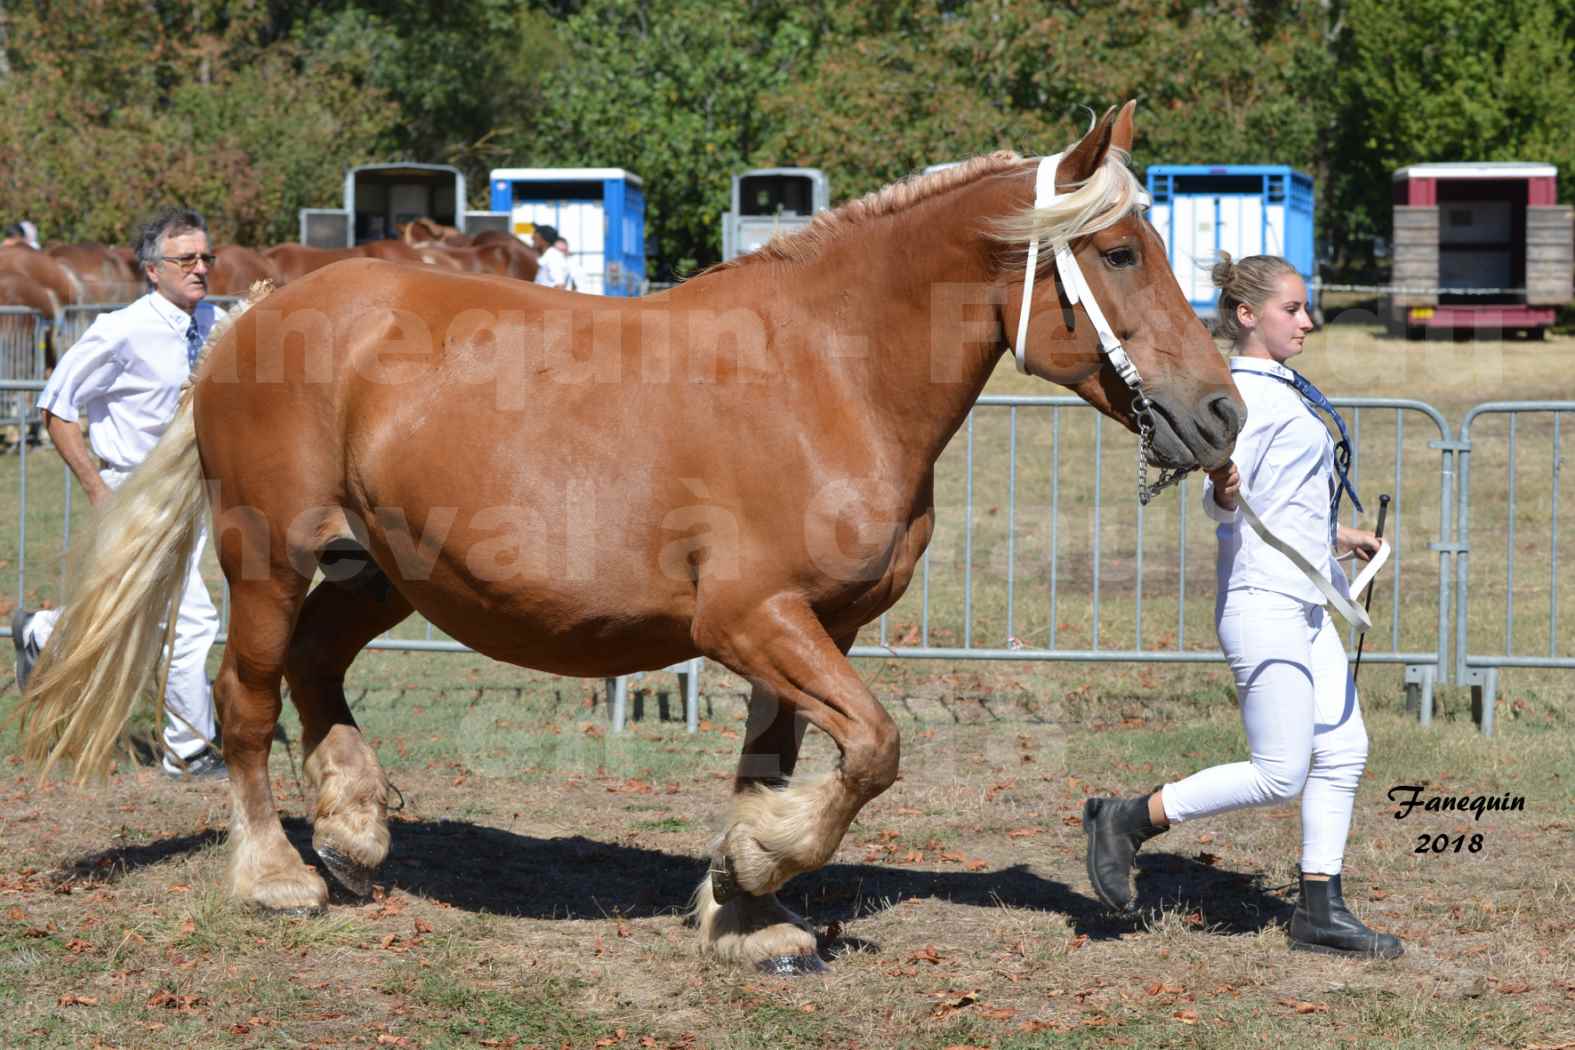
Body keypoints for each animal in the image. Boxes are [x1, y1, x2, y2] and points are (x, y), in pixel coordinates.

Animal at [15, 102, 1241, 976]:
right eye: (1119, 253)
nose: (1222, 412)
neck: (825, 376)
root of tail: (250, 312)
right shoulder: (750, 617)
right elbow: (875, 749)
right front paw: (756, 866)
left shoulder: (813, 628)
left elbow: (779, 763)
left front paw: (748, 909)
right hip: (266, 555)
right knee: (246, 698)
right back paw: (280, 874)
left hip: (382, 571)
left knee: (318, 669)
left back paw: (357, 837)